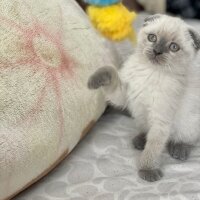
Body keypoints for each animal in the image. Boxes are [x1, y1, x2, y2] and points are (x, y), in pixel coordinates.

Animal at [88, 14, 200, 182]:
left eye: (173, 47)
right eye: (152, 38)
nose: (157, 51)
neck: (150, 72)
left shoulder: (160, 121)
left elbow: (152, 149)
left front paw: (147, 170)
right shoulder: (123, 94)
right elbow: (110, 71)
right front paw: (94, 80)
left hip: (189, 124)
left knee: (188, 139)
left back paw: (179, 150)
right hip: (140, 117)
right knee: (145, 130)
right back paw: (140, 140)